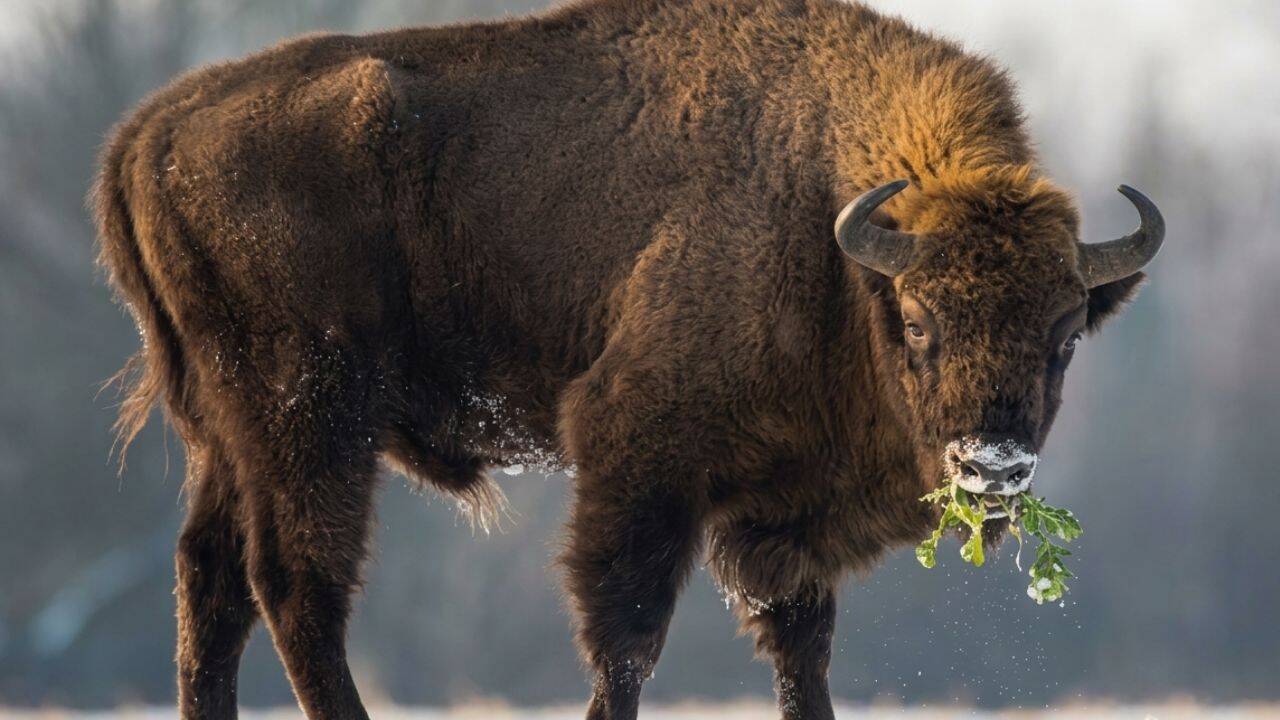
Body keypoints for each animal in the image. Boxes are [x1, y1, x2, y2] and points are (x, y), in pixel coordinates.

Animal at [93, 0, 1162, 718]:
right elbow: (628, 631)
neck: (830, 233)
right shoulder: (641, 458)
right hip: (312, 420)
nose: (994, 467)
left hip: (229, 436)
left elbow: (802, 645)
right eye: (919, 319)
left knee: (211, 581)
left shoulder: (785, 515)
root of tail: (149, 131)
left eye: (1067, 333)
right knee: (297, 583)